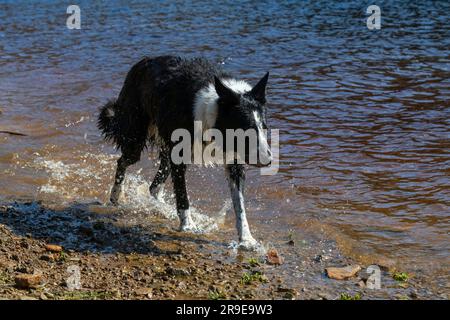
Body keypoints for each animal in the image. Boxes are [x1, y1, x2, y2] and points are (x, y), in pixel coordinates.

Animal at [99, 56, 270, 249]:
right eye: (245, 130)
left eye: (264, 128)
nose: (268, 160)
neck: (213, 111)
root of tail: (143, 61)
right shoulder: (179, 158)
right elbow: (182, 196)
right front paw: (188, 226)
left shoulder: (234, 163)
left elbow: (240, 206)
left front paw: (246, 239)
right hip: (135, 139)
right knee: (122, 162)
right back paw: (116, 197)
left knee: (154, 186)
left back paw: (162, 208)